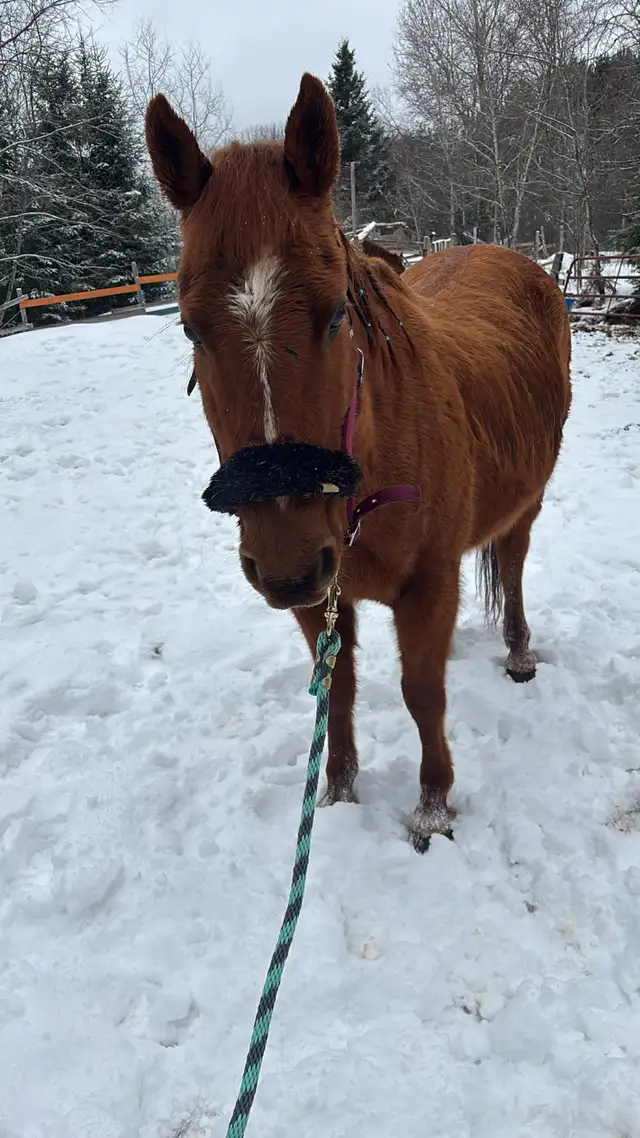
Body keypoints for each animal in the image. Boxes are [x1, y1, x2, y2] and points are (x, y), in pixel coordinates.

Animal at [145, 73, 572, 850]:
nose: (284, 562)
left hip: (527, 502)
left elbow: (422, 692)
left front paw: (433, 806)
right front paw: (338, 793)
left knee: (515, 564)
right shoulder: (320, 597)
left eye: (338, 315)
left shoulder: (425, 582)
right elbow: (337, 688)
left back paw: (519, 650)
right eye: (190, 327)